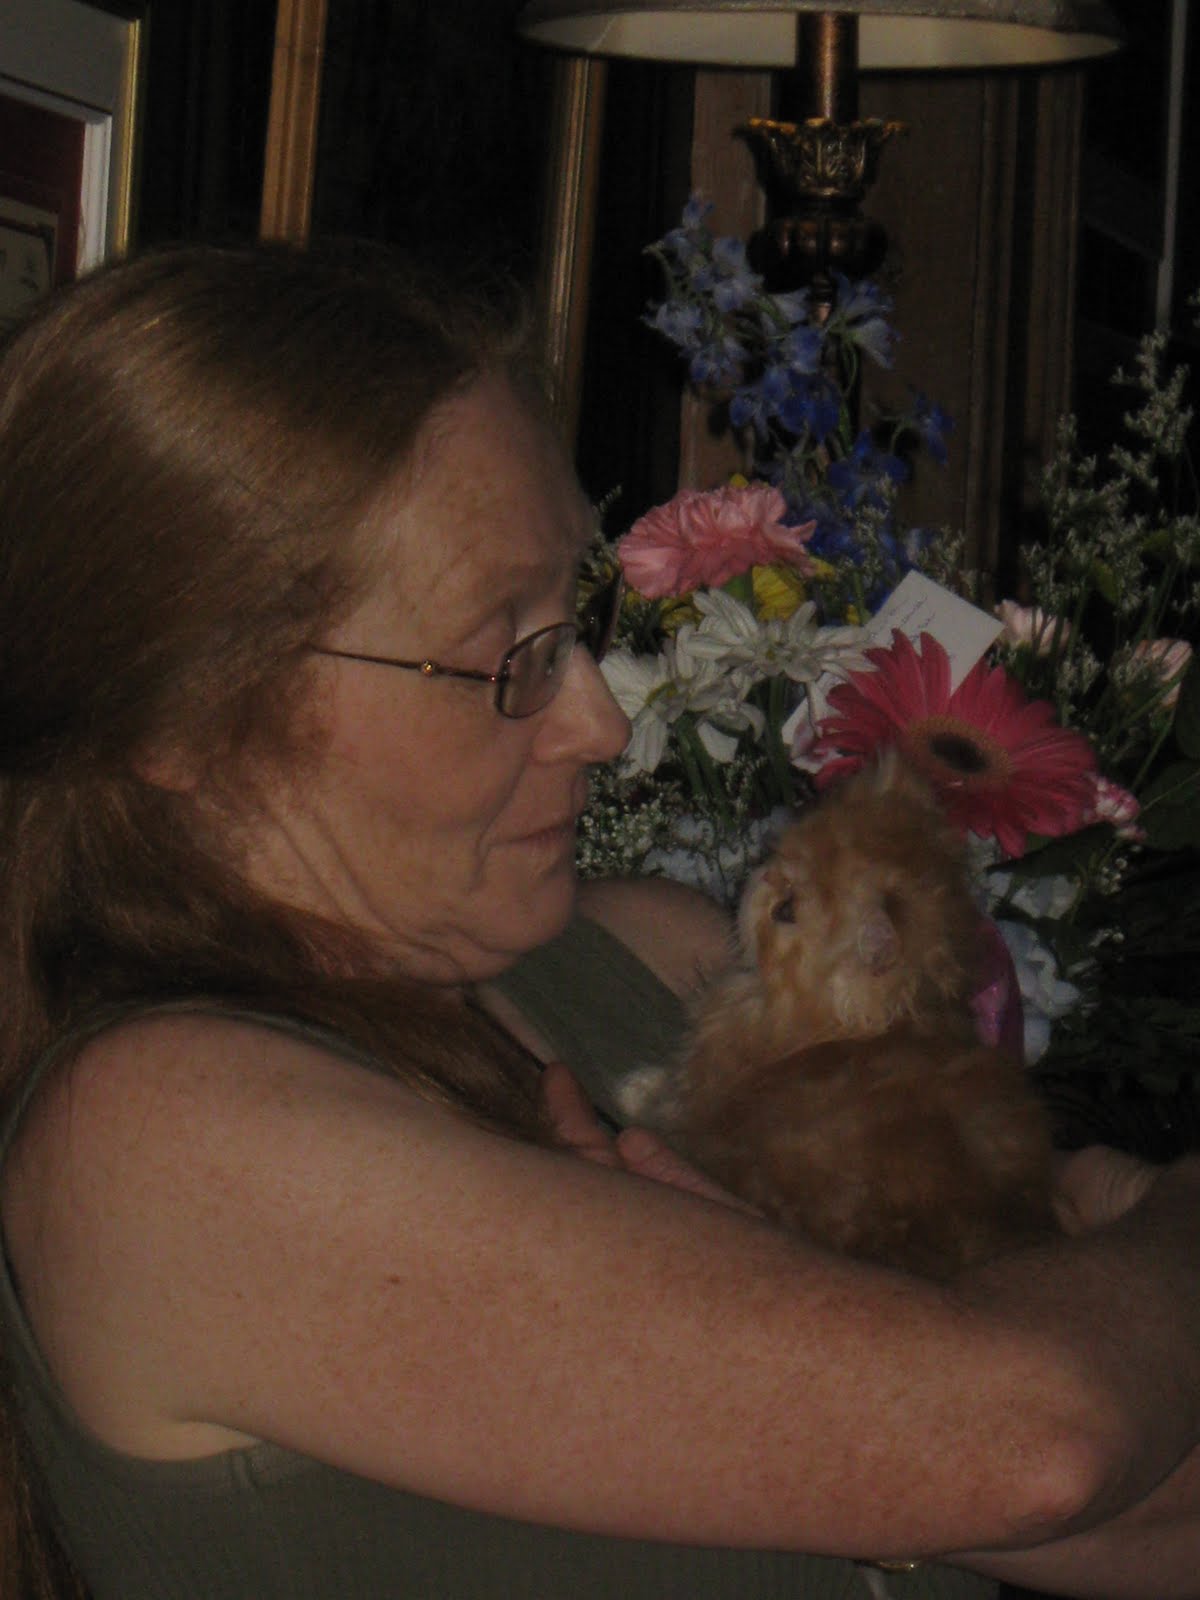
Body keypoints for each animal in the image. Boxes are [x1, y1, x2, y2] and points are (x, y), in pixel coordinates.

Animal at [621, 756, 1056, 1279]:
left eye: (787, 911)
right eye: (779, 853)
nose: (763, 879)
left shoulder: (704, 1096)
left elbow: (667, 1102)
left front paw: (634, 1087)